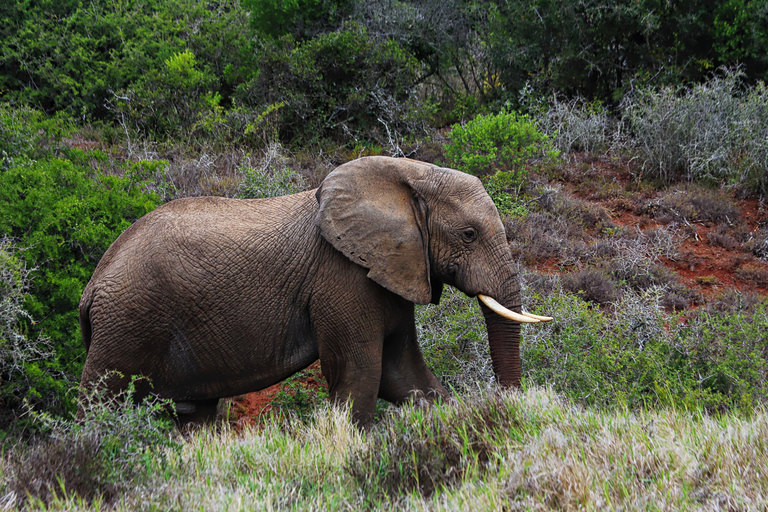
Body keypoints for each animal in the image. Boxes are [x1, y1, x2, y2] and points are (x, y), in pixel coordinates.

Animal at [79, 157, 552, 428]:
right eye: (469, 234)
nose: (506, 407)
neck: (408, 176)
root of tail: (92, 286)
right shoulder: (342, 278)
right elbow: (362, 376)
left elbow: (404, 375)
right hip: (127, 321)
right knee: (101, 403)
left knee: (196, 414)